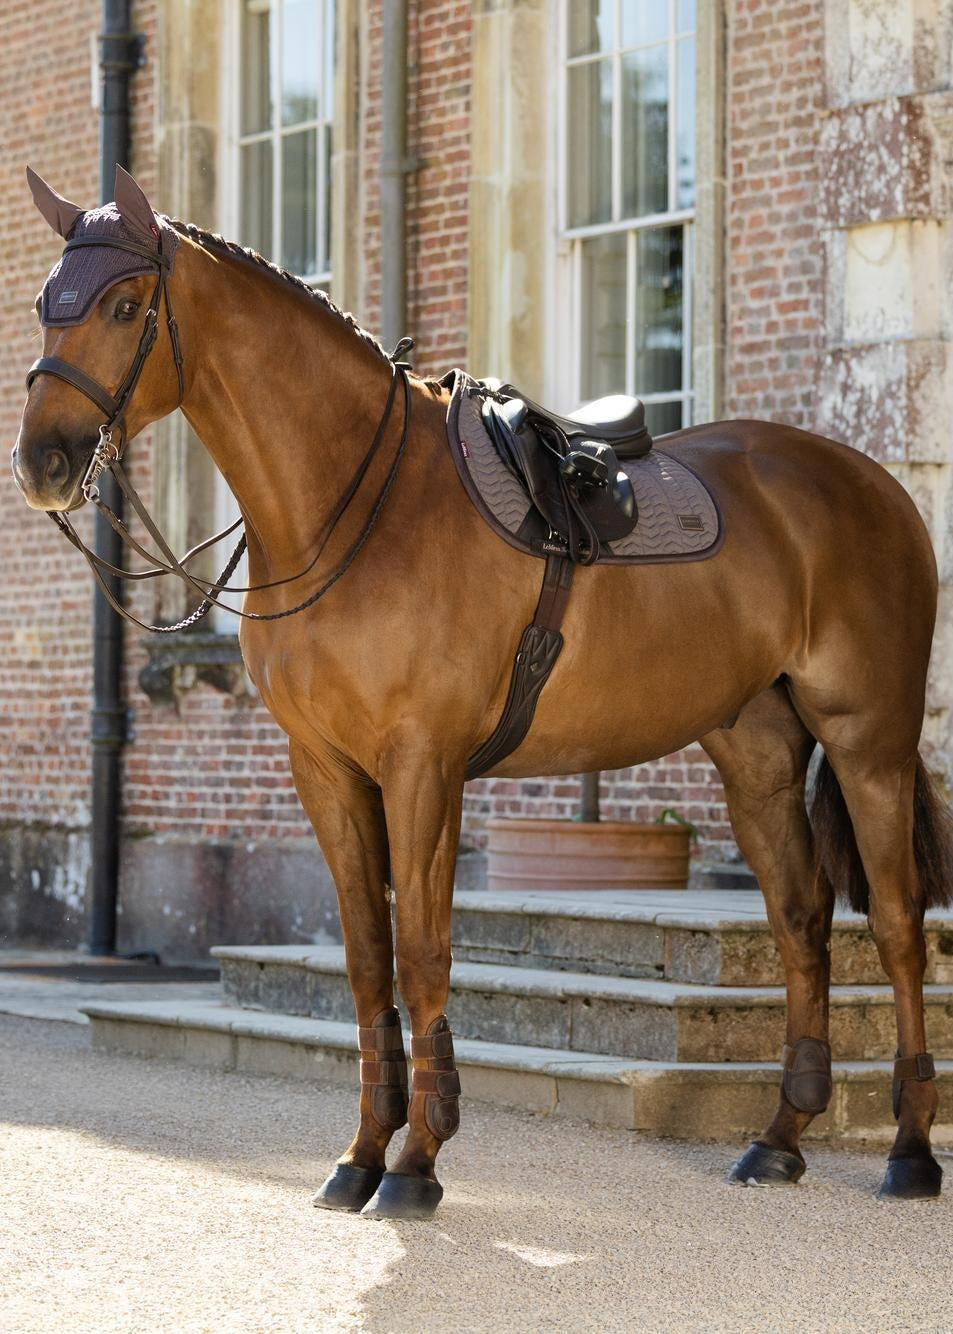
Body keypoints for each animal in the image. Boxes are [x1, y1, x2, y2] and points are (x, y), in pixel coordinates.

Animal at [13, 166, 952, 1219]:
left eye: (126, 305)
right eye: (46, 306)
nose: (44, 462)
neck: (349, 505)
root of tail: (872, 483)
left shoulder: (424, 765)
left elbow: (423, 952)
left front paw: (417, 1161)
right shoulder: (325, 770)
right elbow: (366, 958)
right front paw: (360, 1155)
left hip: (867, 742)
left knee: (898, 928)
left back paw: (909, 1151)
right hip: (754, 754)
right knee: (800, 923)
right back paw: (780, 1138)